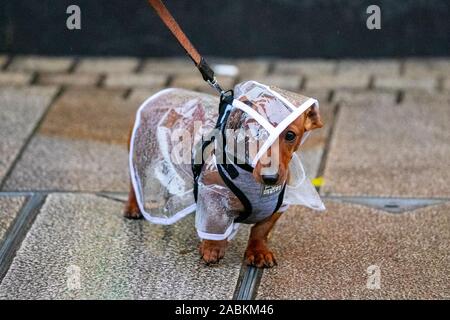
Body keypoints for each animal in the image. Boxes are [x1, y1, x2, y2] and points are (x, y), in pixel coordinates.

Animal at [124, 105, 320, 268]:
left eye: (290, 135)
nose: (270, 178)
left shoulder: (279, 206)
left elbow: (260, 230)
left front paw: (258, 251)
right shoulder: (212, 197)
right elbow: (214, 228)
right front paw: (213, 248)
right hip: (144, 153)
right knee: (136, 181)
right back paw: (134, 206)